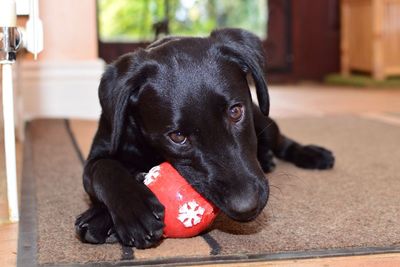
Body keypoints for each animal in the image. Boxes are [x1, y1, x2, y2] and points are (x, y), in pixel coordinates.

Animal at [75, 27, 334, 249]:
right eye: (177, 136)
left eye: (235, 112)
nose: (247, 206)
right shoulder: (99, 153)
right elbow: (105, 169)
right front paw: (131, 210)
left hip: (265, 120)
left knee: (282, 141)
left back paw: (310, 154)